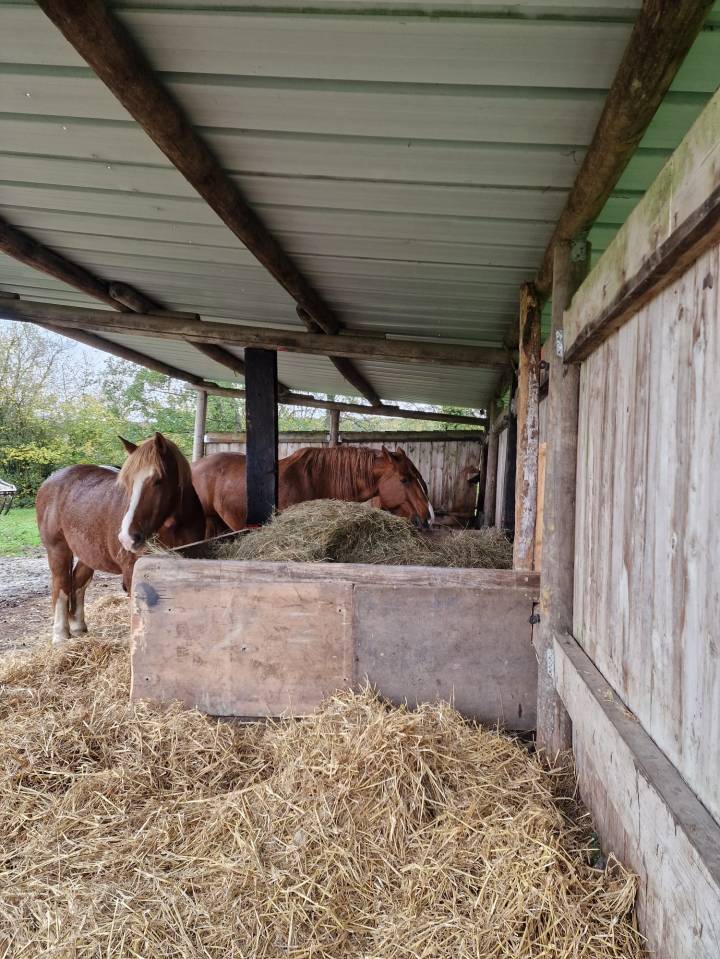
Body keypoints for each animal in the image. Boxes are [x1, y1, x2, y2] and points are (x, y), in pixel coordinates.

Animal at [36, 432, 205, 644]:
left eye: (158, 480)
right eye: (127, 484)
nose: (127, 538)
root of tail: (51, 480)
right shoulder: (133, 574)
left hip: (88, 553)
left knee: (77, 582)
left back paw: (78, 627)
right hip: (57, 550)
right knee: (61, 586)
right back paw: (60, 636)